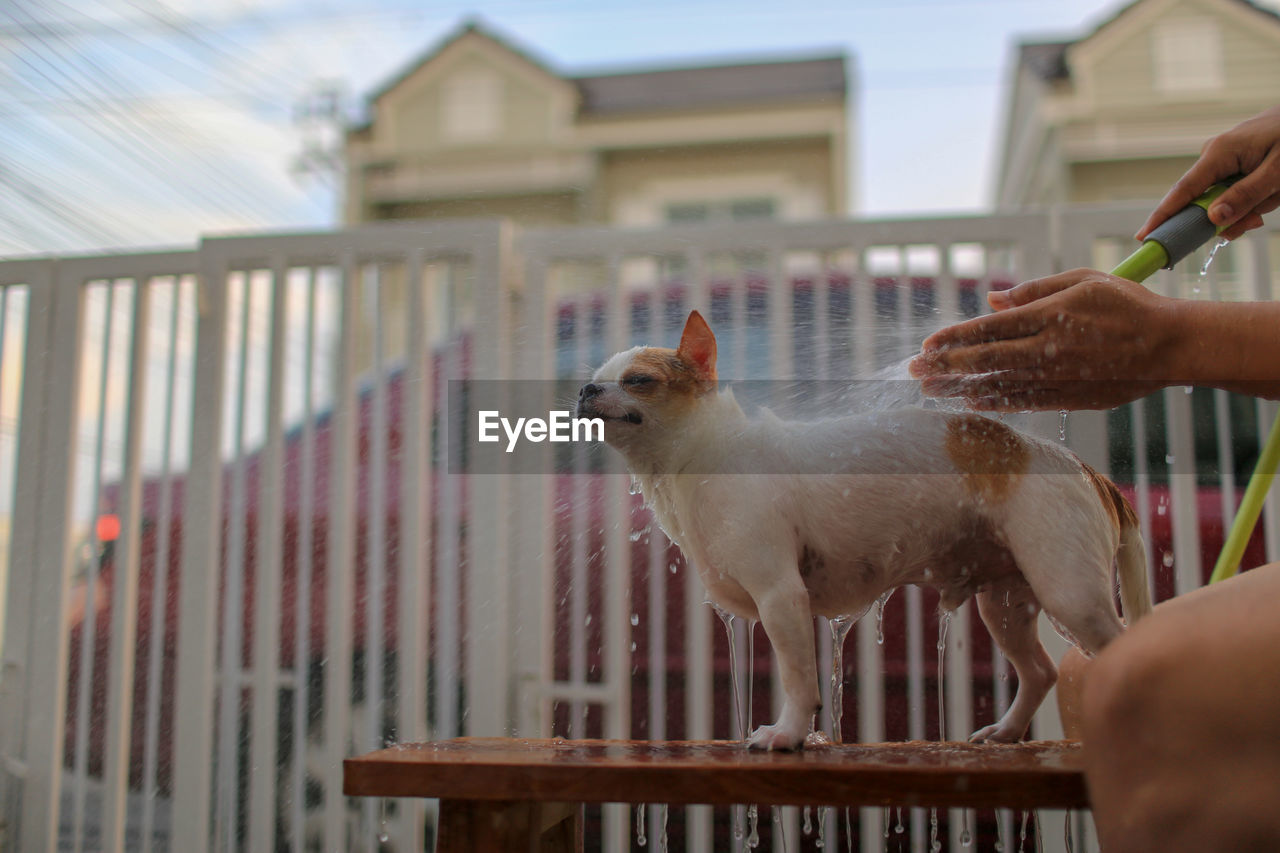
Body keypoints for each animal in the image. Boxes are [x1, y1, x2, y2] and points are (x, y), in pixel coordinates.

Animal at [581, 308, 1152, 747]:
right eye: (596, 374)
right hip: (1007, 603)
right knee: (1040, 671)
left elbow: (798, 678)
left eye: (638, 381)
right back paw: (1006, 732)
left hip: (1070, 592)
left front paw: (787, 735)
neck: (705, 458)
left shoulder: (781, 595)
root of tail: (1089, 471)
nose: (585, 387)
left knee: (1118, 649)